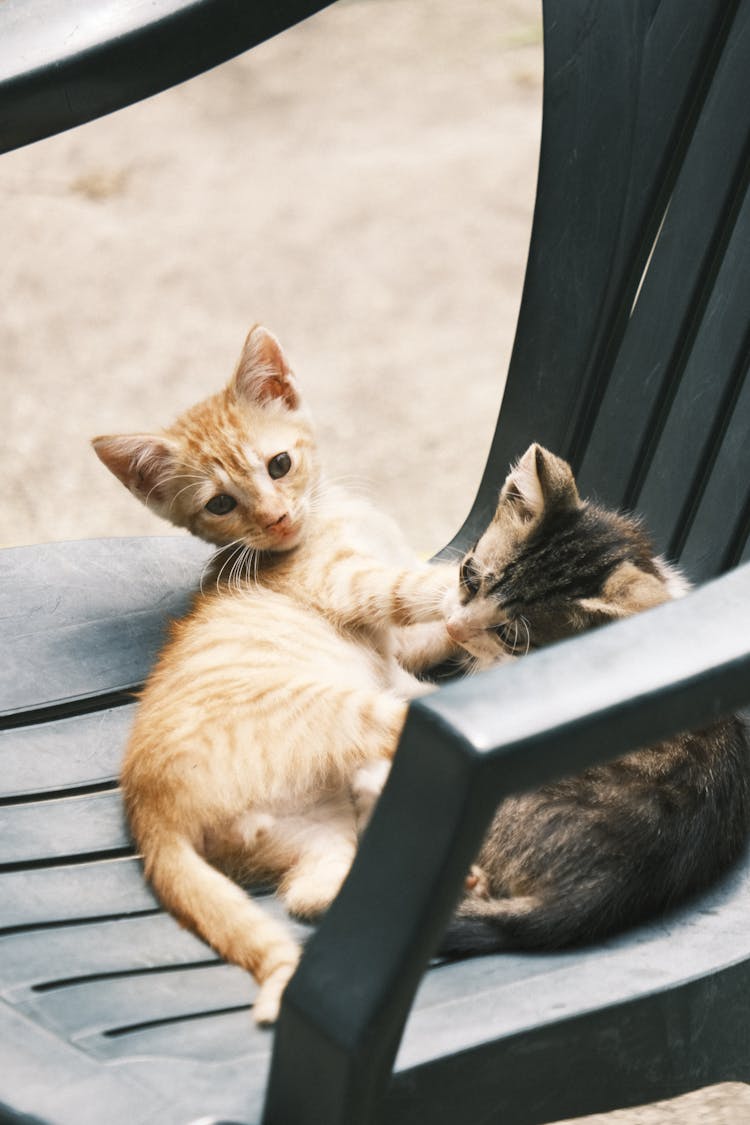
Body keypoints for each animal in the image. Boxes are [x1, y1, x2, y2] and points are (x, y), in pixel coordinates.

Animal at [93, 326, 458, 1021]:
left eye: (279, 465)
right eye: (220, 504)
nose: (276, 518)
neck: (328, 516)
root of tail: (150, 815)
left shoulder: (402, 642)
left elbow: (432, 629)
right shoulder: (351, 584)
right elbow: (419, 584)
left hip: (311, 831)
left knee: (311, 894)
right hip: (349, 711)